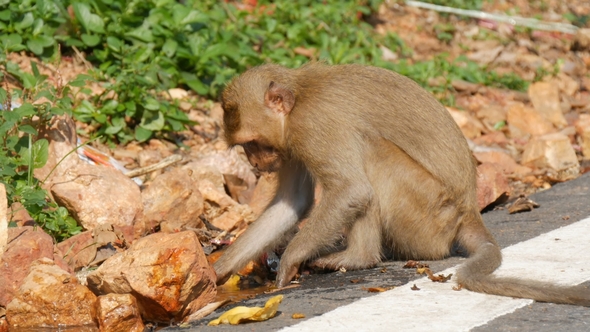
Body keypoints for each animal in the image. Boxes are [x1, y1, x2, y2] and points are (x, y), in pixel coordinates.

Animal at [215, 62, 590, 306]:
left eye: (254, 143)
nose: (255, 163)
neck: (298, 100)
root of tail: (468, 212)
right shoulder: (290, 144)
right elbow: (292, 202)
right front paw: (219, 270)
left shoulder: (313, 125)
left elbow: (351, 191)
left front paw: (290, 261)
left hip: (428, 218)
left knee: (371, 152)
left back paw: (358, 258)